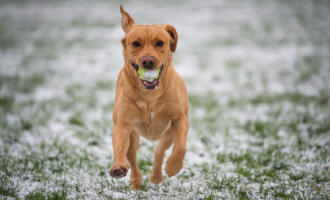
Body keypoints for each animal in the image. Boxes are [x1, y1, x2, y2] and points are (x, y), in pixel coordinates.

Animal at [109, 4, 188, 189]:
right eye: (136, 43)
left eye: (160, 43)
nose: (148, 61)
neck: (150, 95)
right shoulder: (123, 123)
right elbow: (119, 146)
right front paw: (118, 167)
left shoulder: (180, 117)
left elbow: (181, 146)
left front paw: (174, 167)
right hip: (134, 136)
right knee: (131, 155)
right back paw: (136, 181)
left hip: (167, 134)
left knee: (160, 150)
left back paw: (157, 176)